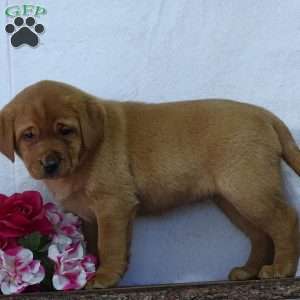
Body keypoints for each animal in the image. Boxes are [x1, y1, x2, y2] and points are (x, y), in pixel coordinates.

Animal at [0, 80, 300, 288]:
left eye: (65, 130)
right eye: (29, 135)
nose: (50, 163)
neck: (85, 155)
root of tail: (265, 115)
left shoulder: (113, 206)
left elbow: (110, 245)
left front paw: (105, 277)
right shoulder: (93, 216)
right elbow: (96, 246)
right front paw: (101, 272)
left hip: (249, 189)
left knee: (285, 221)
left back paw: (282, 268)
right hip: (233, 199)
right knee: (260, 235)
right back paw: (250, 270)